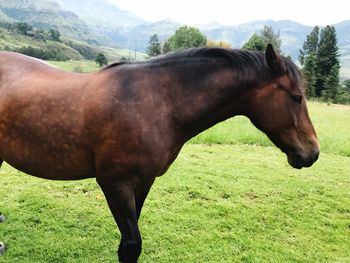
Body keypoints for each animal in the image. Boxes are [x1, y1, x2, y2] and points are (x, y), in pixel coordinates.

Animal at [0, 44, 320, 262]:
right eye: (296, 97)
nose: (313, 152)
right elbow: (131, 246)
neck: (157, 104)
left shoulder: (143, 183)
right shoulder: (115, 184)